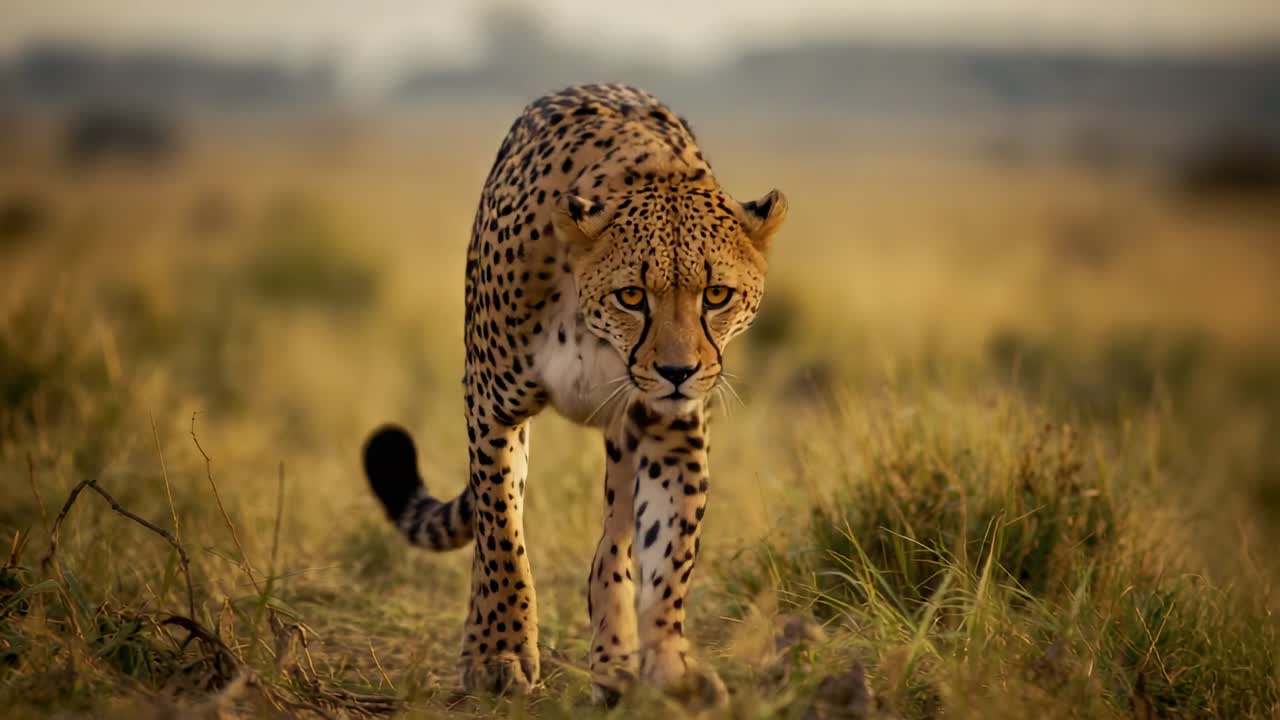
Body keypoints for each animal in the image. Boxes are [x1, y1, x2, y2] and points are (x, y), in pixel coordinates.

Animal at [361, 83, 787, 705]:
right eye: (632, 295)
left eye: (716, 295)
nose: (678, 371)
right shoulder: (490, 403)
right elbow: (502, 534)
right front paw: (500, 653)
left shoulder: (671, 426)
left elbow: (669, 548)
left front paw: (668, 667)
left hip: (626, 438)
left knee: (614, 542)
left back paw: (613, 661)